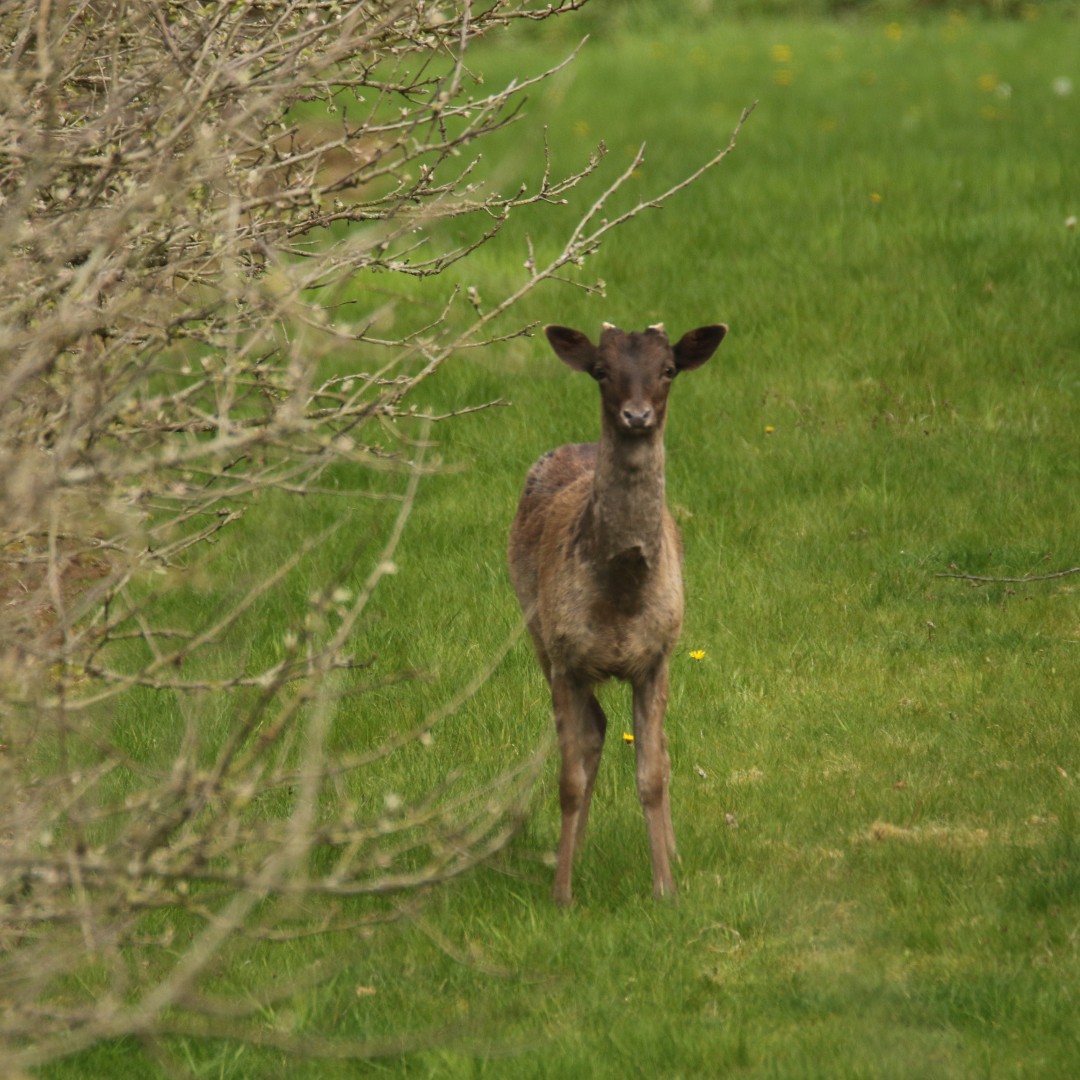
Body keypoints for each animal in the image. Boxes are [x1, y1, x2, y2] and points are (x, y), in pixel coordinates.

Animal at [508, 320, 727, 905]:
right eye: (601, 371)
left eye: (668, 369)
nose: (636, 415)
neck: (620, 597)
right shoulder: (566, 656)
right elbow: (569, 777)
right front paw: (562, 893)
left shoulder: (657, 657)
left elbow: (651, 775)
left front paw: (665, 887)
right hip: (536, 634)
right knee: (593, 734)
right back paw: (574, 852)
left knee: (659, 748)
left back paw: (671, 852)